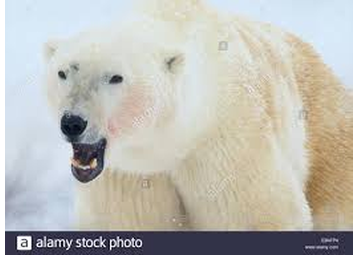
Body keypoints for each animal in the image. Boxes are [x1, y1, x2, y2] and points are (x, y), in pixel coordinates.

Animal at [44, 0, 352, 231]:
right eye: (63, 72)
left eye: (115, 77)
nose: (73, 122)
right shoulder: (129, 175)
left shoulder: (226, 148)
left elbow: (260, 214)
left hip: (326, 137)